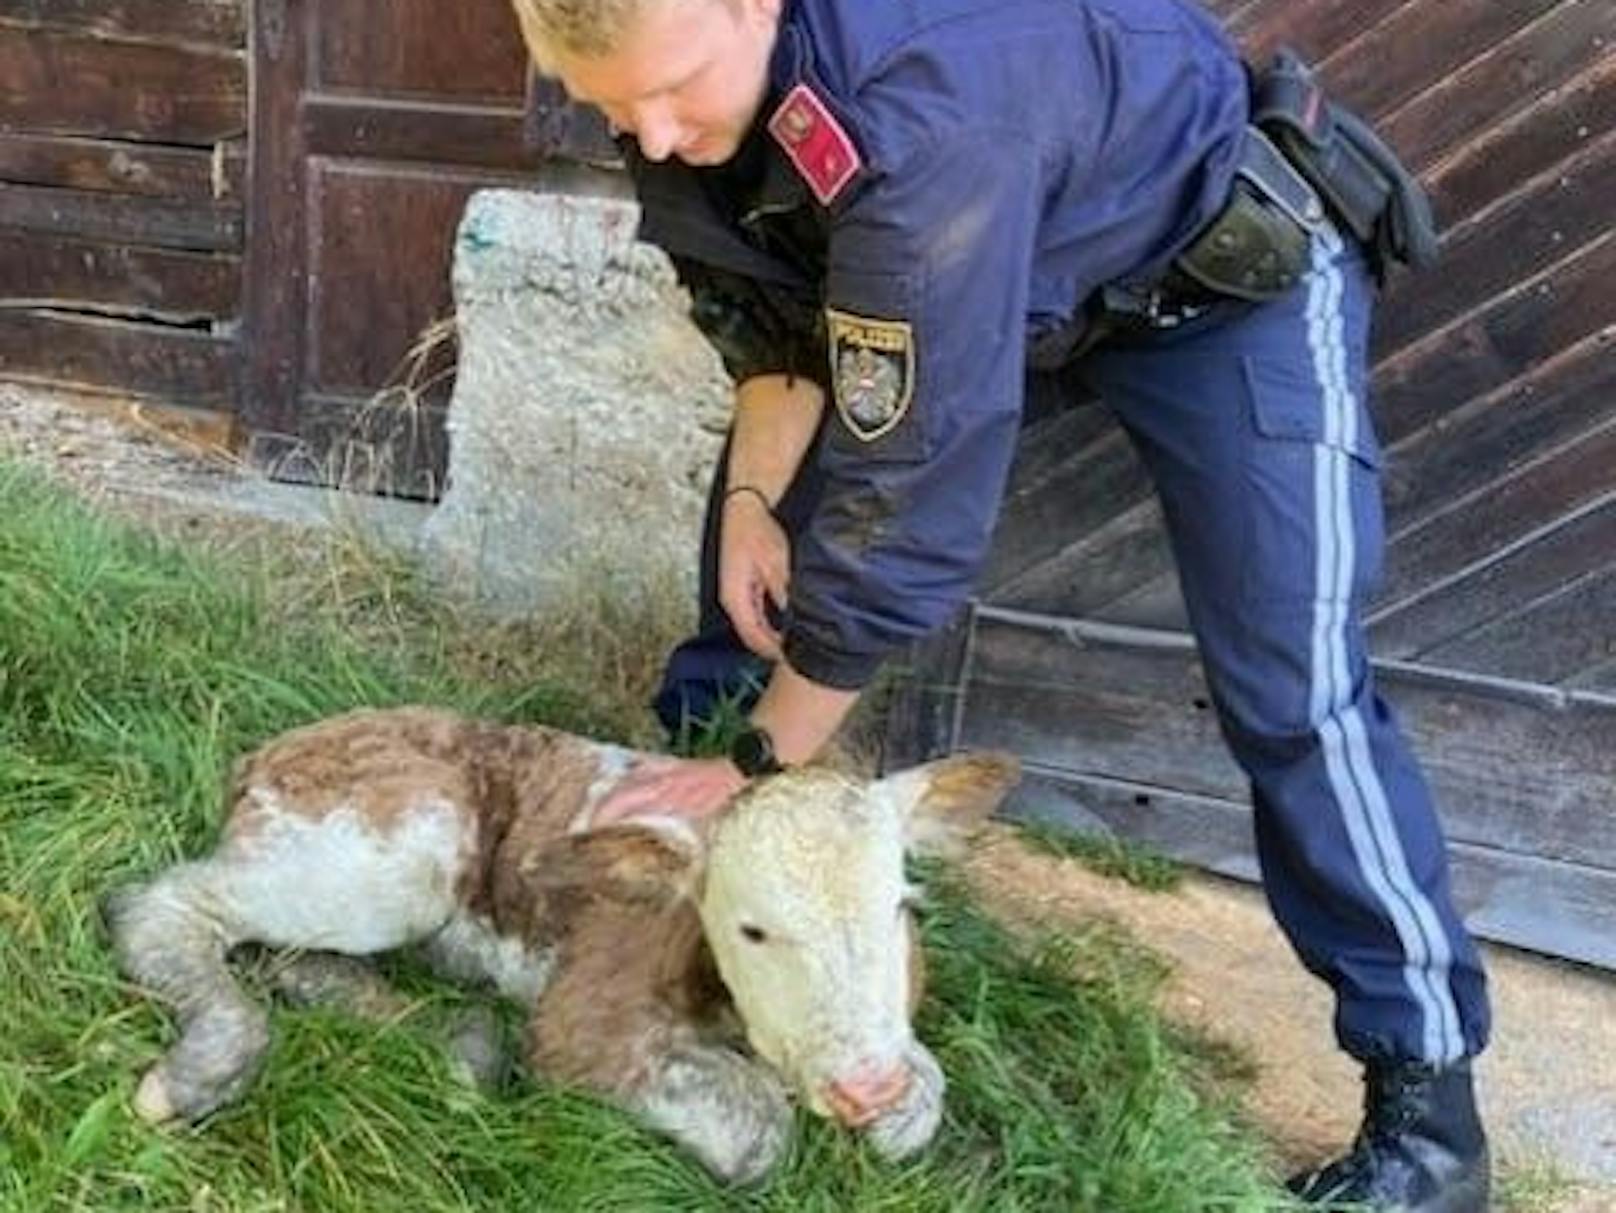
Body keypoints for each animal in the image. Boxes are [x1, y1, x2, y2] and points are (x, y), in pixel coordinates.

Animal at [101, 707, 1014, 1182]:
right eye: (751, 926)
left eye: (901, 906)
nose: (866, 1085)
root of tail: (273, 749)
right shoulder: (581, 1026)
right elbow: (758, 1127)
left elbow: (926, 1092)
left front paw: (897, 1106)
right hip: (397, 854)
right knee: (163, 904)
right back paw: (202, 1067)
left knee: (282, 949)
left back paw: (463, 1043)